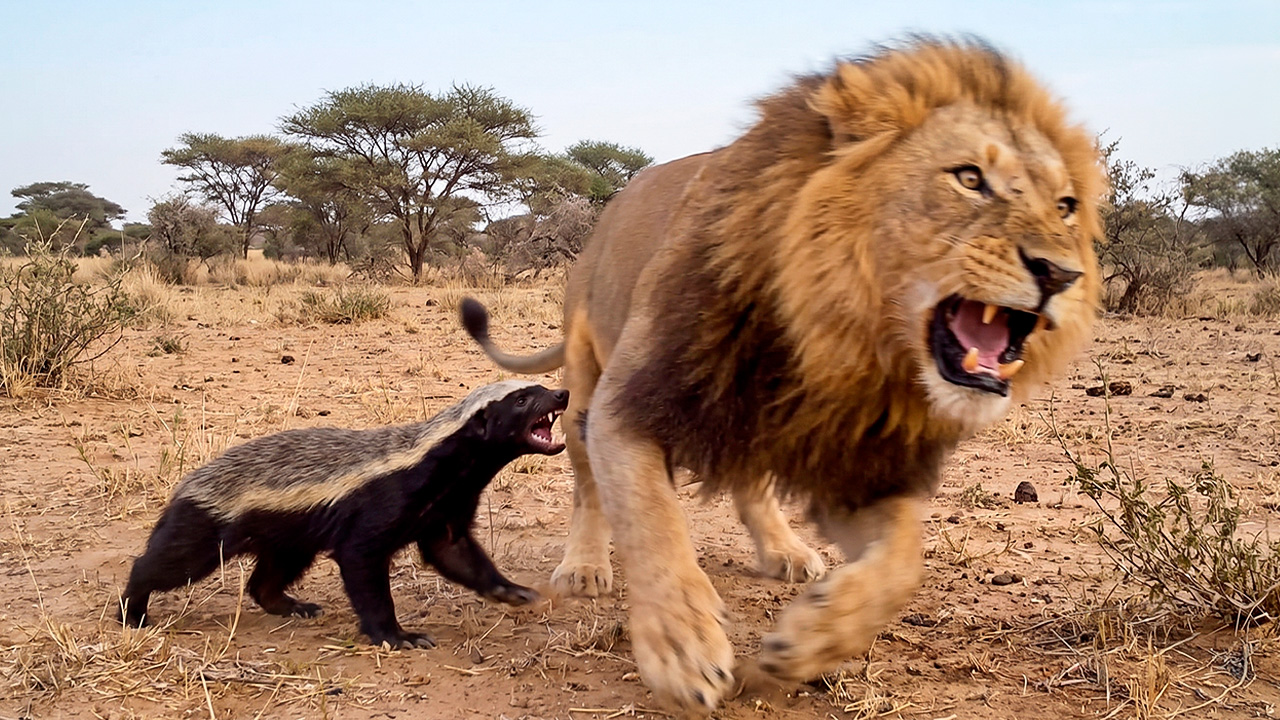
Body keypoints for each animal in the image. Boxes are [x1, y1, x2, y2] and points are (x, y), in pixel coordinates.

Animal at [461, 38, 1103, 711]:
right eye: (970, 179)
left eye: (1066, 206)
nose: (1063, 274)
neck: (826, 338)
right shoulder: (629, 402)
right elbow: (651, 520)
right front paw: (682, 648)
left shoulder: (851, 461)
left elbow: (903, 562)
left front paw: (809, 639)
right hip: (586, 379)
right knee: (589, 484)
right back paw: (586, 566)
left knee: (752, 484)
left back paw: (786, 552)